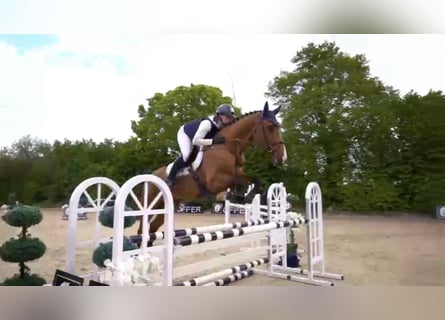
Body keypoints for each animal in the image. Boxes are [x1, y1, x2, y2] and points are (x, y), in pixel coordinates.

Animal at [137, 101, 286, 236]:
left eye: (278, 126)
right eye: (270, 127)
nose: (283, 157)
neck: (228, 148)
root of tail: (152, 174)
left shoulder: (239, 173)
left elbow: (255, 180)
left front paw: (242, 196)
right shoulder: (215, 183)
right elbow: (235, 181)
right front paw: (238, 196)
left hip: (171, 203)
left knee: (153, 228)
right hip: (151, 204)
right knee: (142, 229)